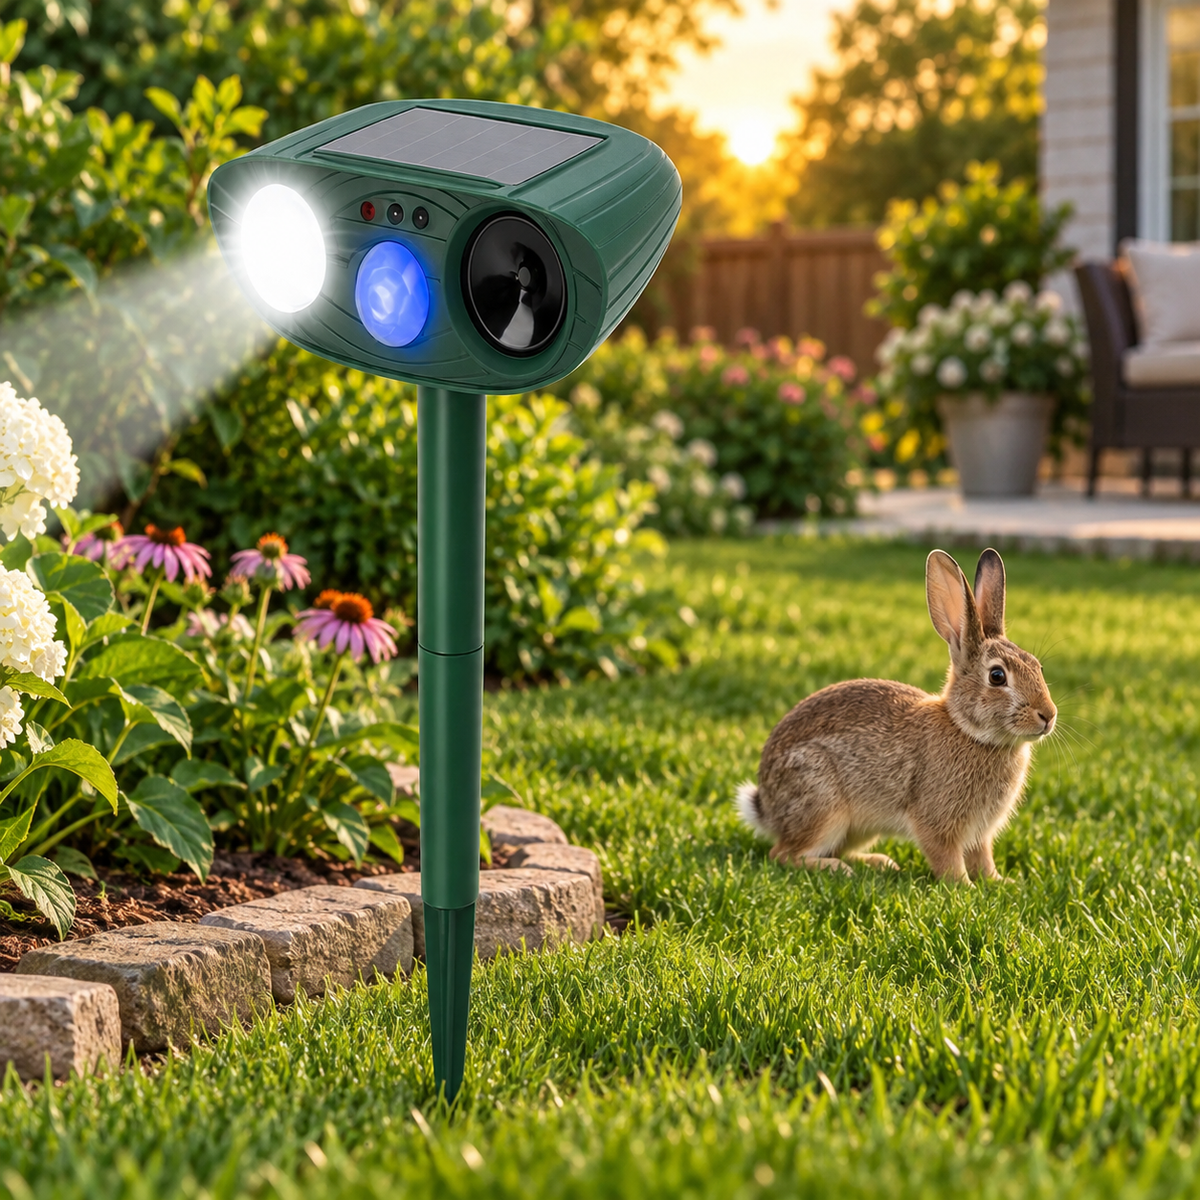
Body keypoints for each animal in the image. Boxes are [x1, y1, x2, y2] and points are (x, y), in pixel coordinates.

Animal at [736, 548, 1056, 884]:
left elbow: (983, 858)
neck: (968, 730)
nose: (1048, 715)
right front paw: (965, 886)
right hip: (822, 805)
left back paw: (879, 862)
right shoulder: (936, 821)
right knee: (783, 854)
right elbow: (947, 858)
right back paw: (838, 868)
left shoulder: (980, 833)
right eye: (997, 676)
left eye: (1038, 667)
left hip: (858, 827)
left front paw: (999, 882)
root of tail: (767, 805)